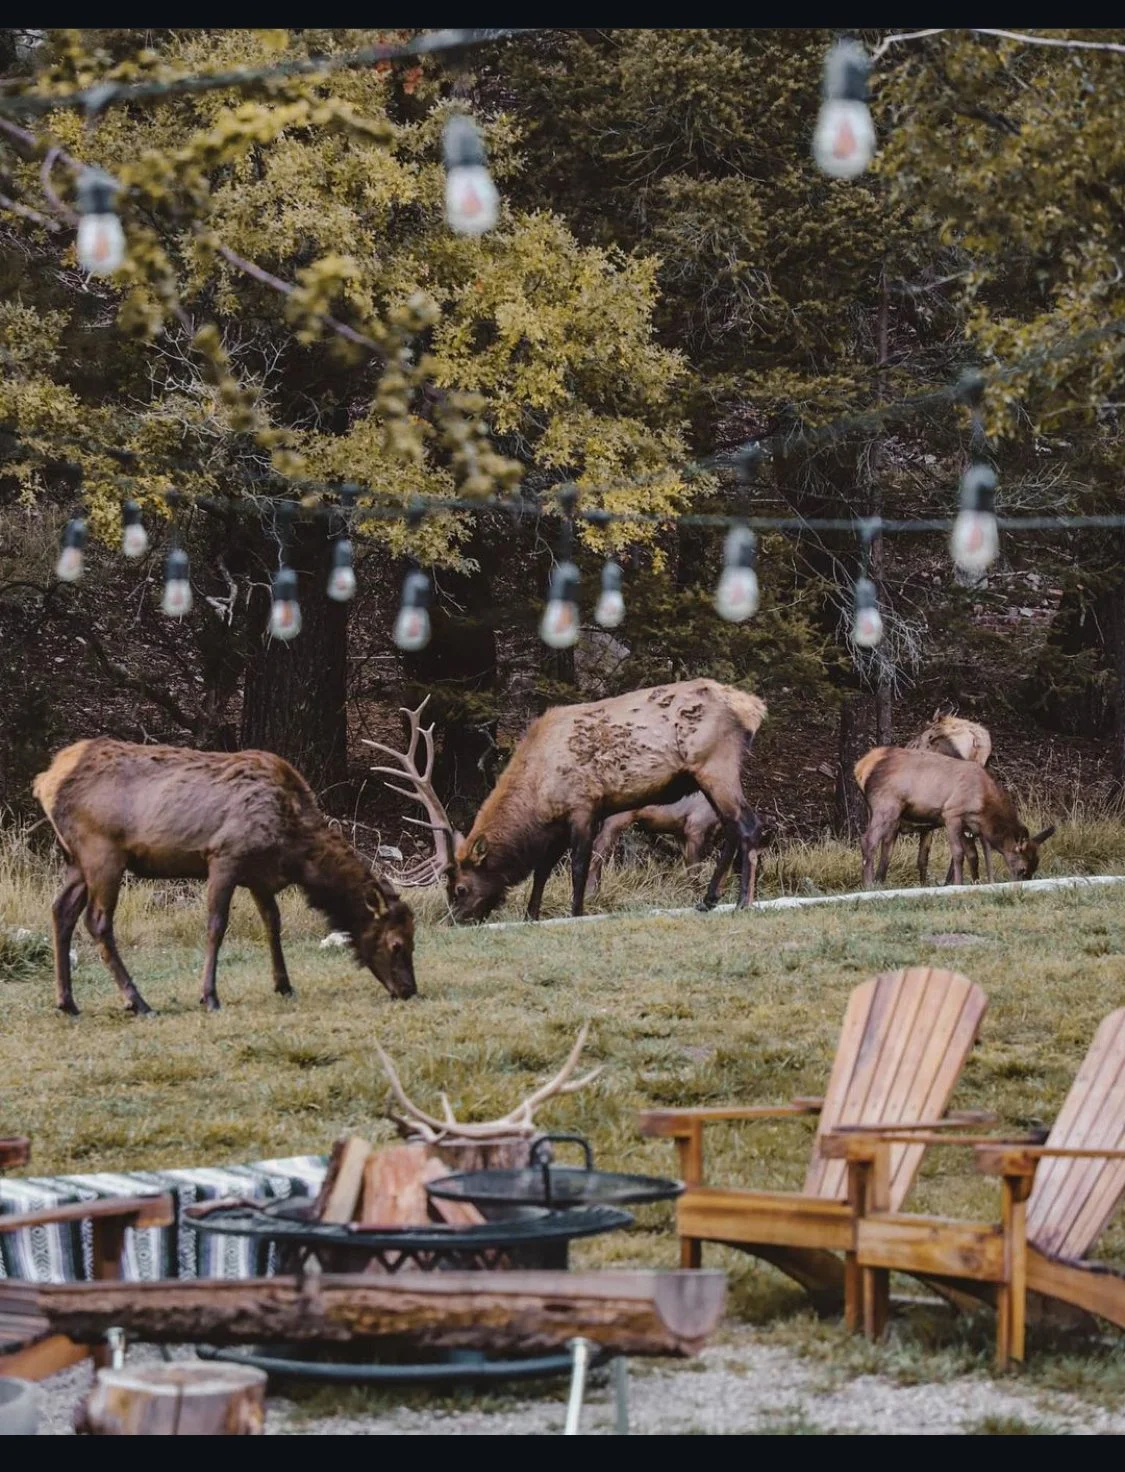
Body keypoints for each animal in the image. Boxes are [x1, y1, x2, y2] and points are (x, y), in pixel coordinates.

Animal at [32, 737, 417, 1017]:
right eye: (396, 944)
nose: (409, 990)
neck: (293, 850)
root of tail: (45, 780)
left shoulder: (260, 875)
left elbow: (272, 921)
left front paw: (284, 985)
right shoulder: (224, 855)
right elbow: (216, 925)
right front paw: (209, 996)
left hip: (76, 860)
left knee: (61, 910)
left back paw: (67, 1002)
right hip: (103, 852)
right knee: (97, 921)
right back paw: (138, 1002)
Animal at [368, 680, 770, 923]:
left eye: (460, 888)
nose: (454, 920)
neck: (536, 795)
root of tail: (753, 706)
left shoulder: (583, 806)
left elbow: (578, 865)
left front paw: (576, 912)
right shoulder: (556, 824)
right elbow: (543, 869)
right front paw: (531, 915)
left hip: (715, 763)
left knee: (749, 826)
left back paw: (741, 902)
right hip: (706, 778)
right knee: (732, 830)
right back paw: (709, 899)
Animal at [854, 744, 1054, 889]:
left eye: (1035, 867)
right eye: (1022, 869)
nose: (1022, 883)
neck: (983, 805)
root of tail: (861, 767)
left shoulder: (969, 826)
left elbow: (975, 856)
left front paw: (977, 882)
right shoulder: (951, 814)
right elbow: (958, 853)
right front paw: (959, 884)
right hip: (886, 806)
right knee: (868, 840)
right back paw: (869, 884)